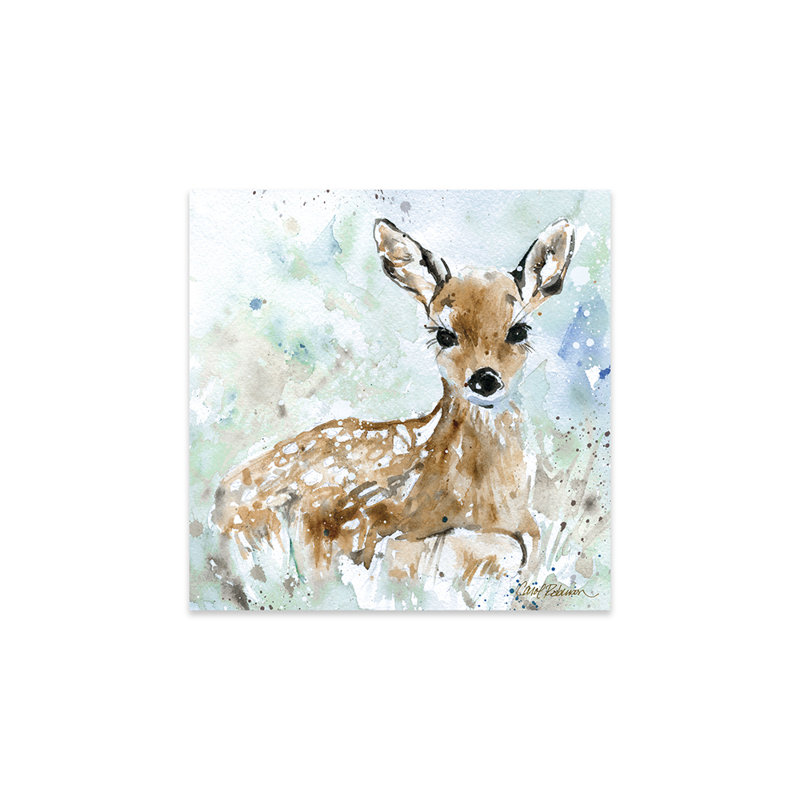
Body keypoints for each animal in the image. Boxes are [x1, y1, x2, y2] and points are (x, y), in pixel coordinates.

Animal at [211, 217, 576, 601]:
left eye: (519, 330)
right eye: (444, 335)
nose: (484, 379)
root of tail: (219, 498)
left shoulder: (527, 534)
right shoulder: (373, 533)